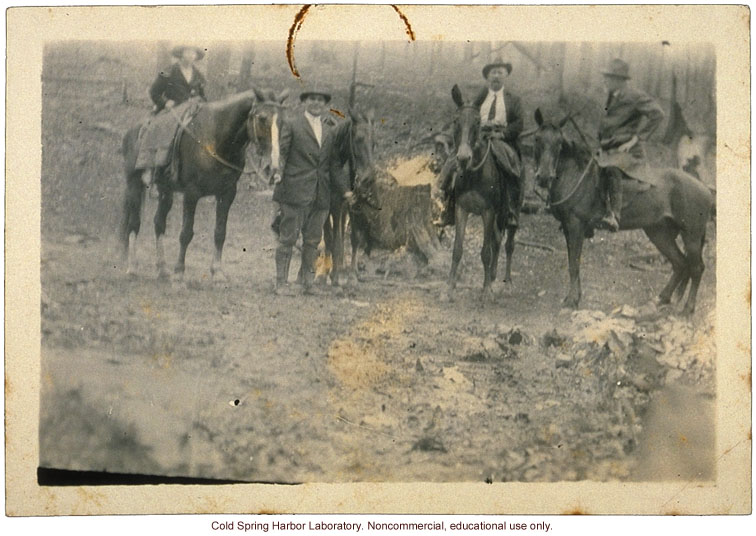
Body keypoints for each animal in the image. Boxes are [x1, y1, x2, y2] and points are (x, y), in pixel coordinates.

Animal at [119, 88, 288, 280]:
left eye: (282, 121)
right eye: (262, 118)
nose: (273, 166)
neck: (216, 139)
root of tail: (133, 131)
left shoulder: (227, 194)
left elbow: (220, 232)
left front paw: (217, 272)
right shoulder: (191, 193)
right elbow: (186, 233)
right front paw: (179, 273)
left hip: (165, 191)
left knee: (158, 223)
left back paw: (162, 269)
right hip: (134, 185)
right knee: (134, 224)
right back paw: (132, 267)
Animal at [446, 85, 516, 298]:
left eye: (477, 122)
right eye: (456, 121)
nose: (463, 158)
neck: (473, 175)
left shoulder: (488, 212)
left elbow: (485, 251)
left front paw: (486, 290)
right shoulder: (462, 209)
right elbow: (457, 249)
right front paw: (449, 287)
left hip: (511, 211)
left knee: (508, 244)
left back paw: (506, 282)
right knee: (497, 240)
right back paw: (492, 276)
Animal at [528, 111, 712, 316]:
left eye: (559, 143)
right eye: (537, 139)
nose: (544, 177)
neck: (575, 174)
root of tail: (704, 188)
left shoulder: (575, 226)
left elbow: (574, 265)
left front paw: (571, 301)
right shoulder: (569, 229)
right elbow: (573, 263)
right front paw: (575, 298)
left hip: (691, 235)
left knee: (696, 267)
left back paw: (687, 309)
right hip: (659, 233)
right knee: (680, 263)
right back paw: (661, 300)